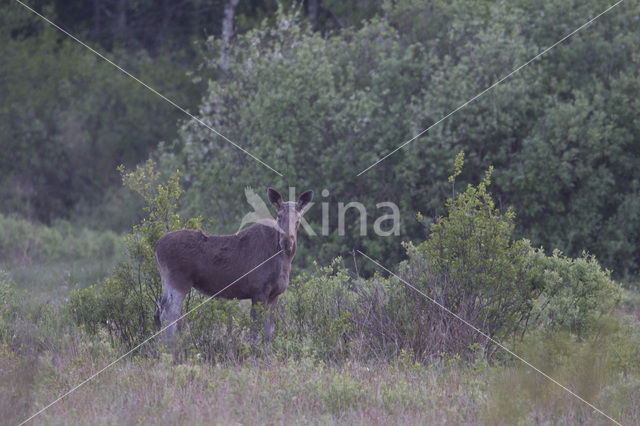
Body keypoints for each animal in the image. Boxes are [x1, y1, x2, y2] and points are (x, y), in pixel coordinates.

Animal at [152, 188, 312, 344]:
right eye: (279, 216)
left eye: (298, 219)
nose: (286, 242)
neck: (284, 261)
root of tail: (156, 246)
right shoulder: (258, 291)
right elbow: (254, 330)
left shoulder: (274, 295)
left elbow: (268, 332)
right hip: (179, 282)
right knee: (169, 314)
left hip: (167, 283)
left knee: (158, 312)